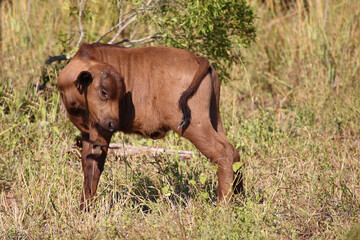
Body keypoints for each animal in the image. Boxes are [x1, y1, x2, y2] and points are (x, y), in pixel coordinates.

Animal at [57, 43, 242, 210]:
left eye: (110, 92)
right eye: (104, 92)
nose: (114, 124)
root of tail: (199, 59)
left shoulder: (100, 133)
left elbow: (94, 169)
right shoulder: (88, 135)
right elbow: (89, 168)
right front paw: (84, 209)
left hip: (195, 127)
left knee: (224, 152)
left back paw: (223, 207)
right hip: (214, 120)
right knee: (233, 152)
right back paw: (240, 198)